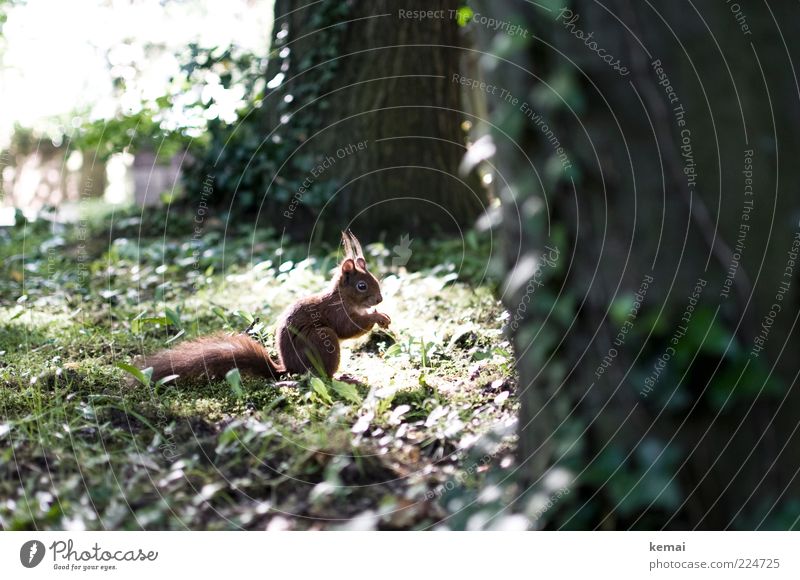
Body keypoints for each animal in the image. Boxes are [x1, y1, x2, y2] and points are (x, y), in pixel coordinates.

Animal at [144, 229, 394, 382]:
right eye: (362, 285)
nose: (380, 299)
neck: (342, 297)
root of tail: (287, 369)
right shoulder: (337, 313)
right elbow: (348, 329)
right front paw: (378, 316)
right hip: (323, 341)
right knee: (321, 375)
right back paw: (342, 377)